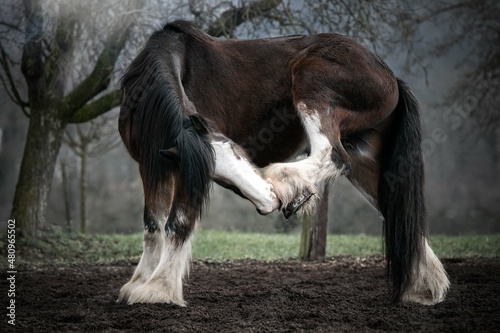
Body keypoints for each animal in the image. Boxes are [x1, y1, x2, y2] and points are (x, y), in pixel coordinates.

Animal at [117, 20, 450, 306]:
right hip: (363, 156)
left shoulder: (184, 169)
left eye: (239, 153)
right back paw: (425, 288)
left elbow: (178, 222)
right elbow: (153, 224)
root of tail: (389, 75)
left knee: (331, 154)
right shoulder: (152, 165)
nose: (269, 201)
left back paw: (287, 182)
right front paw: (139, 284)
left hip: (312, 88)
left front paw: (158, 290)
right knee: (393, 206)